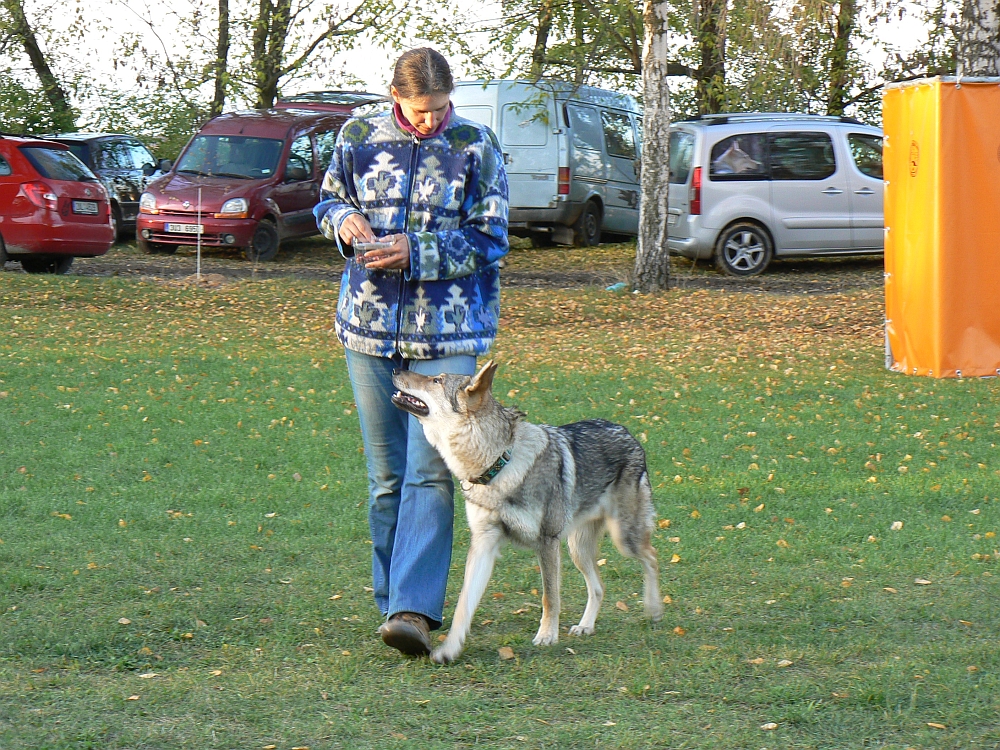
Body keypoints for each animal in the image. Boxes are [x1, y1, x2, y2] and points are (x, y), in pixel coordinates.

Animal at [390, 362, 664, 668]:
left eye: (436, 380)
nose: (396, 367)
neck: (498, 464)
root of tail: (626, 430)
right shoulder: (483, 545)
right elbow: (463, 605)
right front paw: (449, 648)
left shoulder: (547, 542)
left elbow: (549, 597)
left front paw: (546, 636)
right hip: (578, 550)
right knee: (599, 587)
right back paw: (586, 626)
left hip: (623, 538)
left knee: (652, 557)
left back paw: (653, 608)